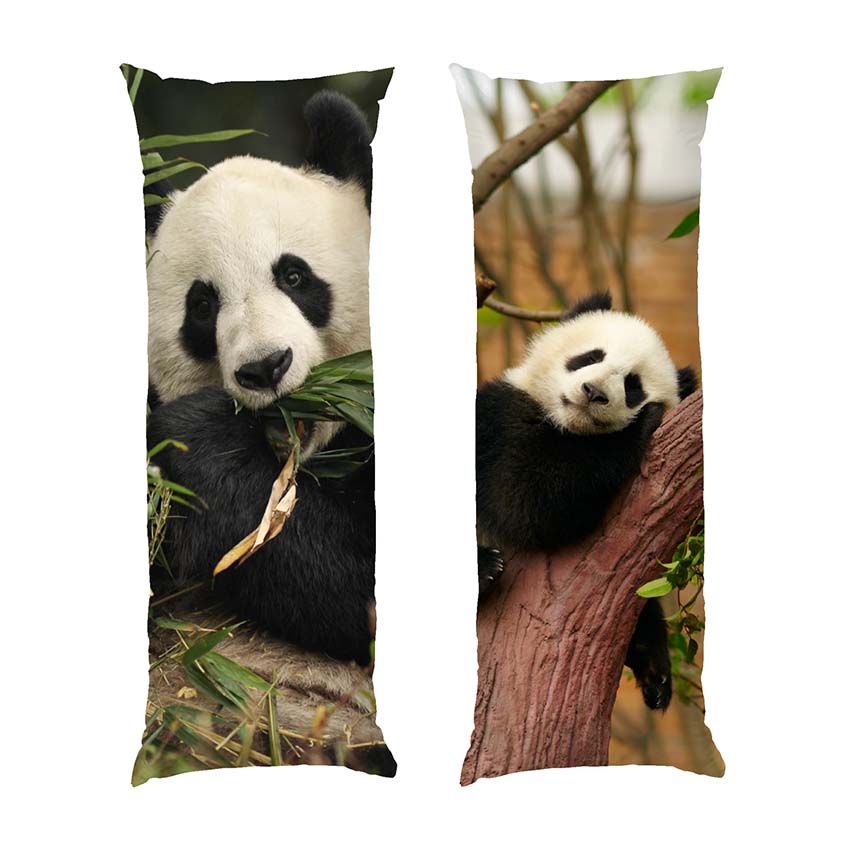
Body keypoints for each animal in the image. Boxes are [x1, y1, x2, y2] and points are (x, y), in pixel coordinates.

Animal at [476, 292, 698, 710]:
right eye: (590, 357)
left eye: (632, 385)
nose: (594, 392)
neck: (569, 427)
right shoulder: (501, 420)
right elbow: (527, 502)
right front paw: (643, 424)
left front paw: (653, 664)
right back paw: (486, 568)